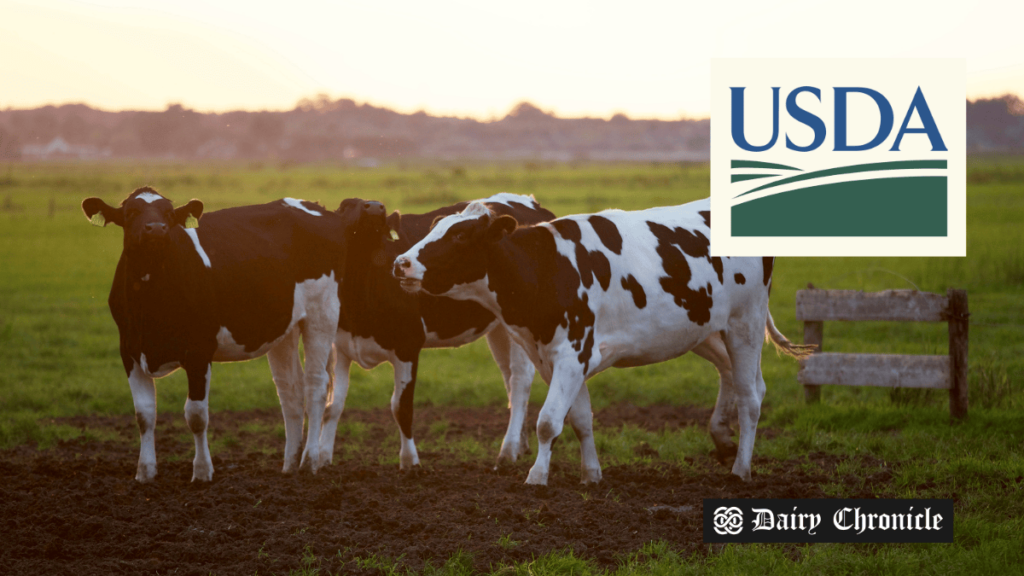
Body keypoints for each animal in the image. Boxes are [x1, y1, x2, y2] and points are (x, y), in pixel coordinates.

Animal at [83, 187, 364, 479]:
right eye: (131, 213)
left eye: (169, 214)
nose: (156, 229)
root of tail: (319, 208)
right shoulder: (129, 350)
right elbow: (144, 414)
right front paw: (145, 472)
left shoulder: (199, 351)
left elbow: (196, 415)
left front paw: (202, 472)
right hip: (284, 327)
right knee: (290, 390)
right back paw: (289, 464)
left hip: (323, 313)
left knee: (316, 385)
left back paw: (309, 461)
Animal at [317, 192, 561, 467]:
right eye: (345, 206)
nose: (375, 207)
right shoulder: (342, 346)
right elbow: (333, 406)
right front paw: (322, 458)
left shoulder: (408, 345)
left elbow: (401, 407)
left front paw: (410, 462)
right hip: (500, 328)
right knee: (508, 377)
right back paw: (520, 445)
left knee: (520, 381)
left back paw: (508, 451)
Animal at [395, 196, 811, 483]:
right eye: (434, 228)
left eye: (460, 235)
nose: (401, 262)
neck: (546, 268)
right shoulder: (557, 358)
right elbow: (579, 419)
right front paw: (591, 474)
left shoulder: (572, 352)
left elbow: (548, 421)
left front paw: (537, 476)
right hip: (703, 329)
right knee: (737, 378)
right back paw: (723, 440)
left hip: (746, 323)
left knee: (751, 397)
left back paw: (741, 469)